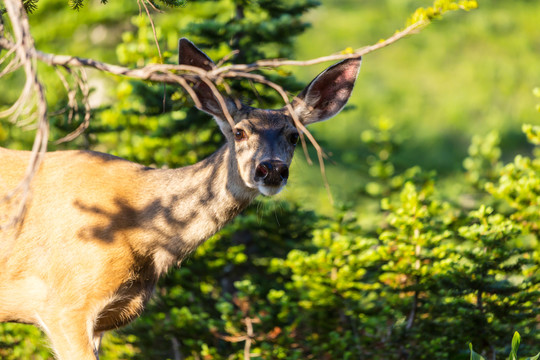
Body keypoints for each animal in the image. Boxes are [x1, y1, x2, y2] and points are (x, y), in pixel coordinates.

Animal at [0, 38, 362, 358]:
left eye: (294, 136)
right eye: (240, 132)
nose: (271, 169)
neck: (141, 233)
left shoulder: (104, 319)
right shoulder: (66, 304)